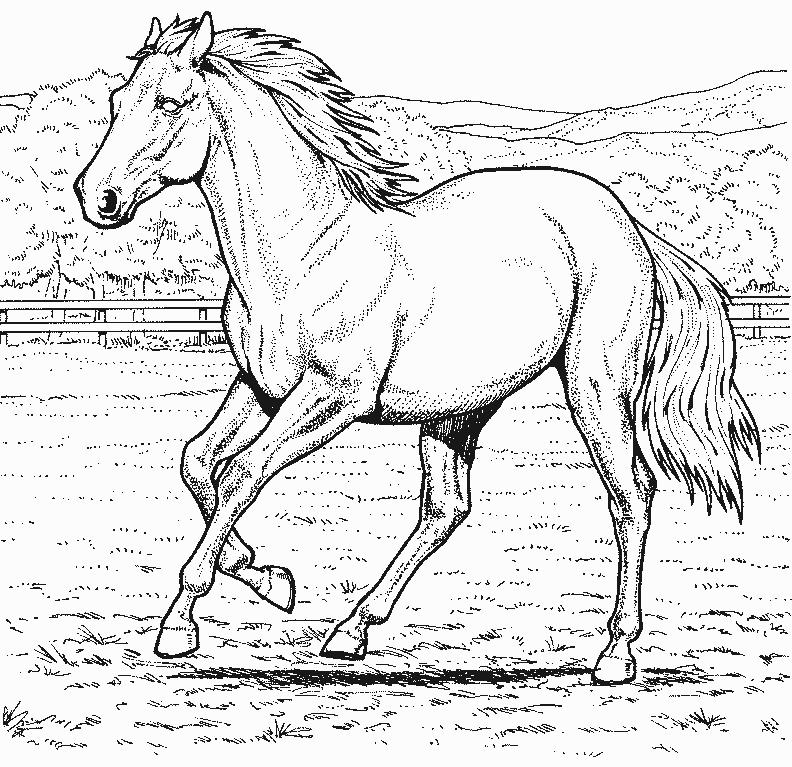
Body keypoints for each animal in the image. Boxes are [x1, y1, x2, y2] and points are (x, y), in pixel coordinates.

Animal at [74, 13, 759, 685]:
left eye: (169, 102)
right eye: (116, 101)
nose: (94, 198)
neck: (306, 252)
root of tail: (629, 224)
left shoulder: (330, 399)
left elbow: (240, 473)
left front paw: (180, 625)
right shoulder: (260, 388)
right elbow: (197, 464)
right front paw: (270, 580)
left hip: (595, 388)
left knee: (631, 496)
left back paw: (615, 654)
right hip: (455, 413)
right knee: (447, 508)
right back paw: (351, 631)